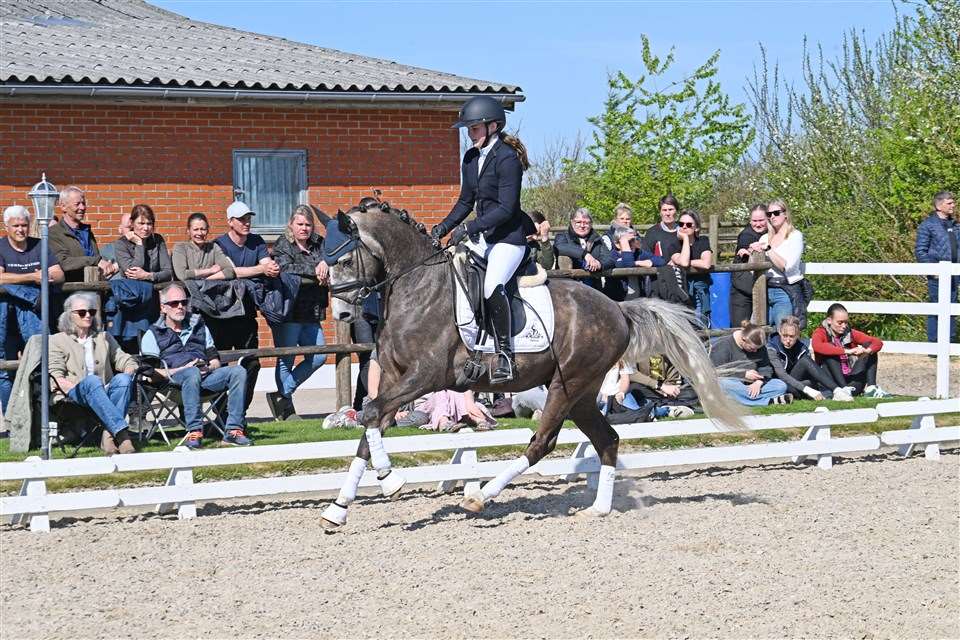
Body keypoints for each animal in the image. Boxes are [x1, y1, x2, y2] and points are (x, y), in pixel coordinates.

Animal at [319, 203, 742, 529]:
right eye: (324, 263)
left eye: (344, 259)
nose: (341, 314)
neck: (418, 287)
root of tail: (618, 309)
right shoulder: (394, 378)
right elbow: (370, 423)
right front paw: (338, 509)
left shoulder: (425, 376)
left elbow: (371, 415)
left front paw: (391, 480)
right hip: (583, 393)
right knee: (607, 439)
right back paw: (598, 509)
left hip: (566, 386)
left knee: (543, 442)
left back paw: (482, 496)